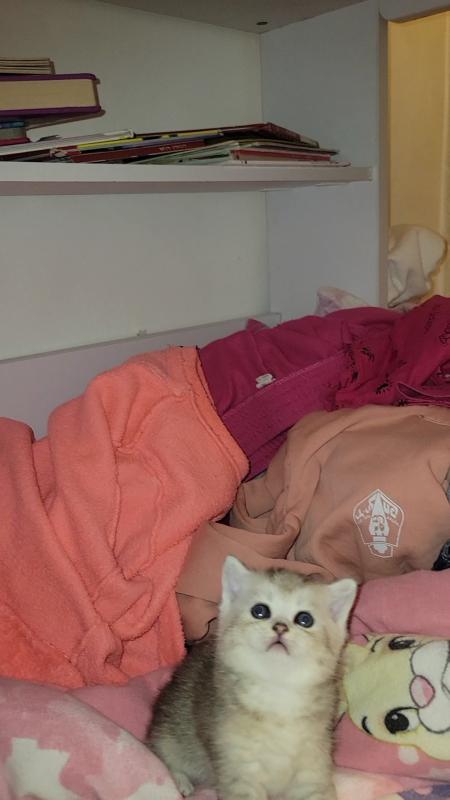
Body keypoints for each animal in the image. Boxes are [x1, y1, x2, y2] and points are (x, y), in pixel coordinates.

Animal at [146, 557, 357, 800]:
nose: (280, 627)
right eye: (260, 611)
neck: (278, 692)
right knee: (161, 753)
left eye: (305, 619)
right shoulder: (238, 766)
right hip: (169, 732)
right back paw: (181, 782)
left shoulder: (314, 762)